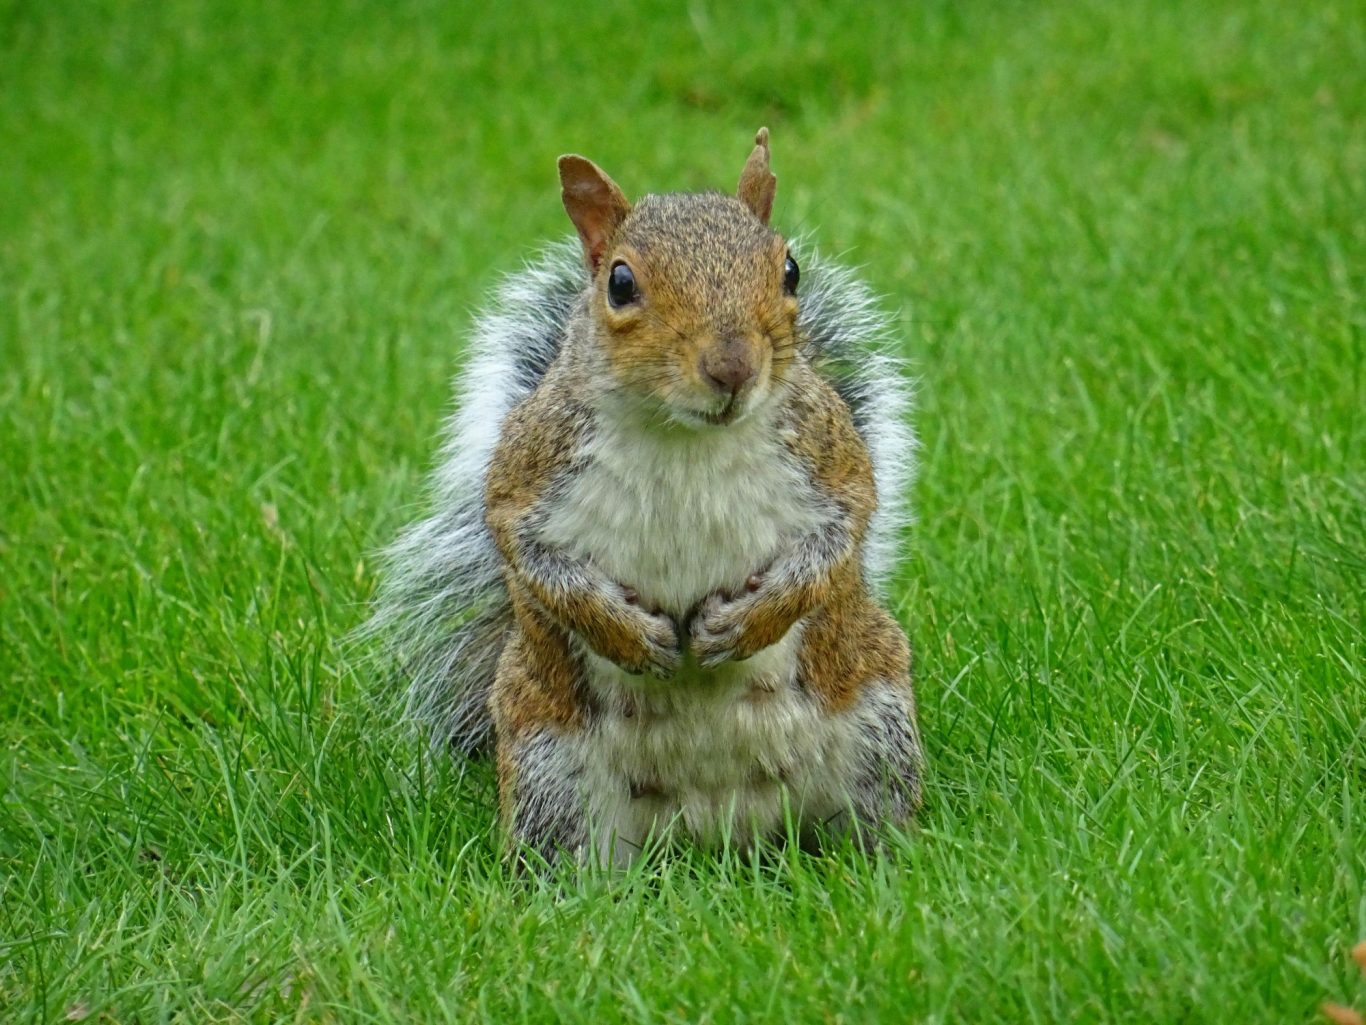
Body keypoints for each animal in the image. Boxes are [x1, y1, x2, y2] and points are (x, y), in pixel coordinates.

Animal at [369, 128, 923, 866]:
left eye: (790, 271)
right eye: (621, 283)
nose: (732, 367)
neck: (685, 437)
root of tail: (723, 834)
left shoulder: (832, 460)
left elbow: (838, 542)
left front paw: (746, 623)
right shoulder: (526, 476)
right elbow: (531, 558)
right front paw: (627, 633)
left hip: (876, 730)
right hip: (551, 776)